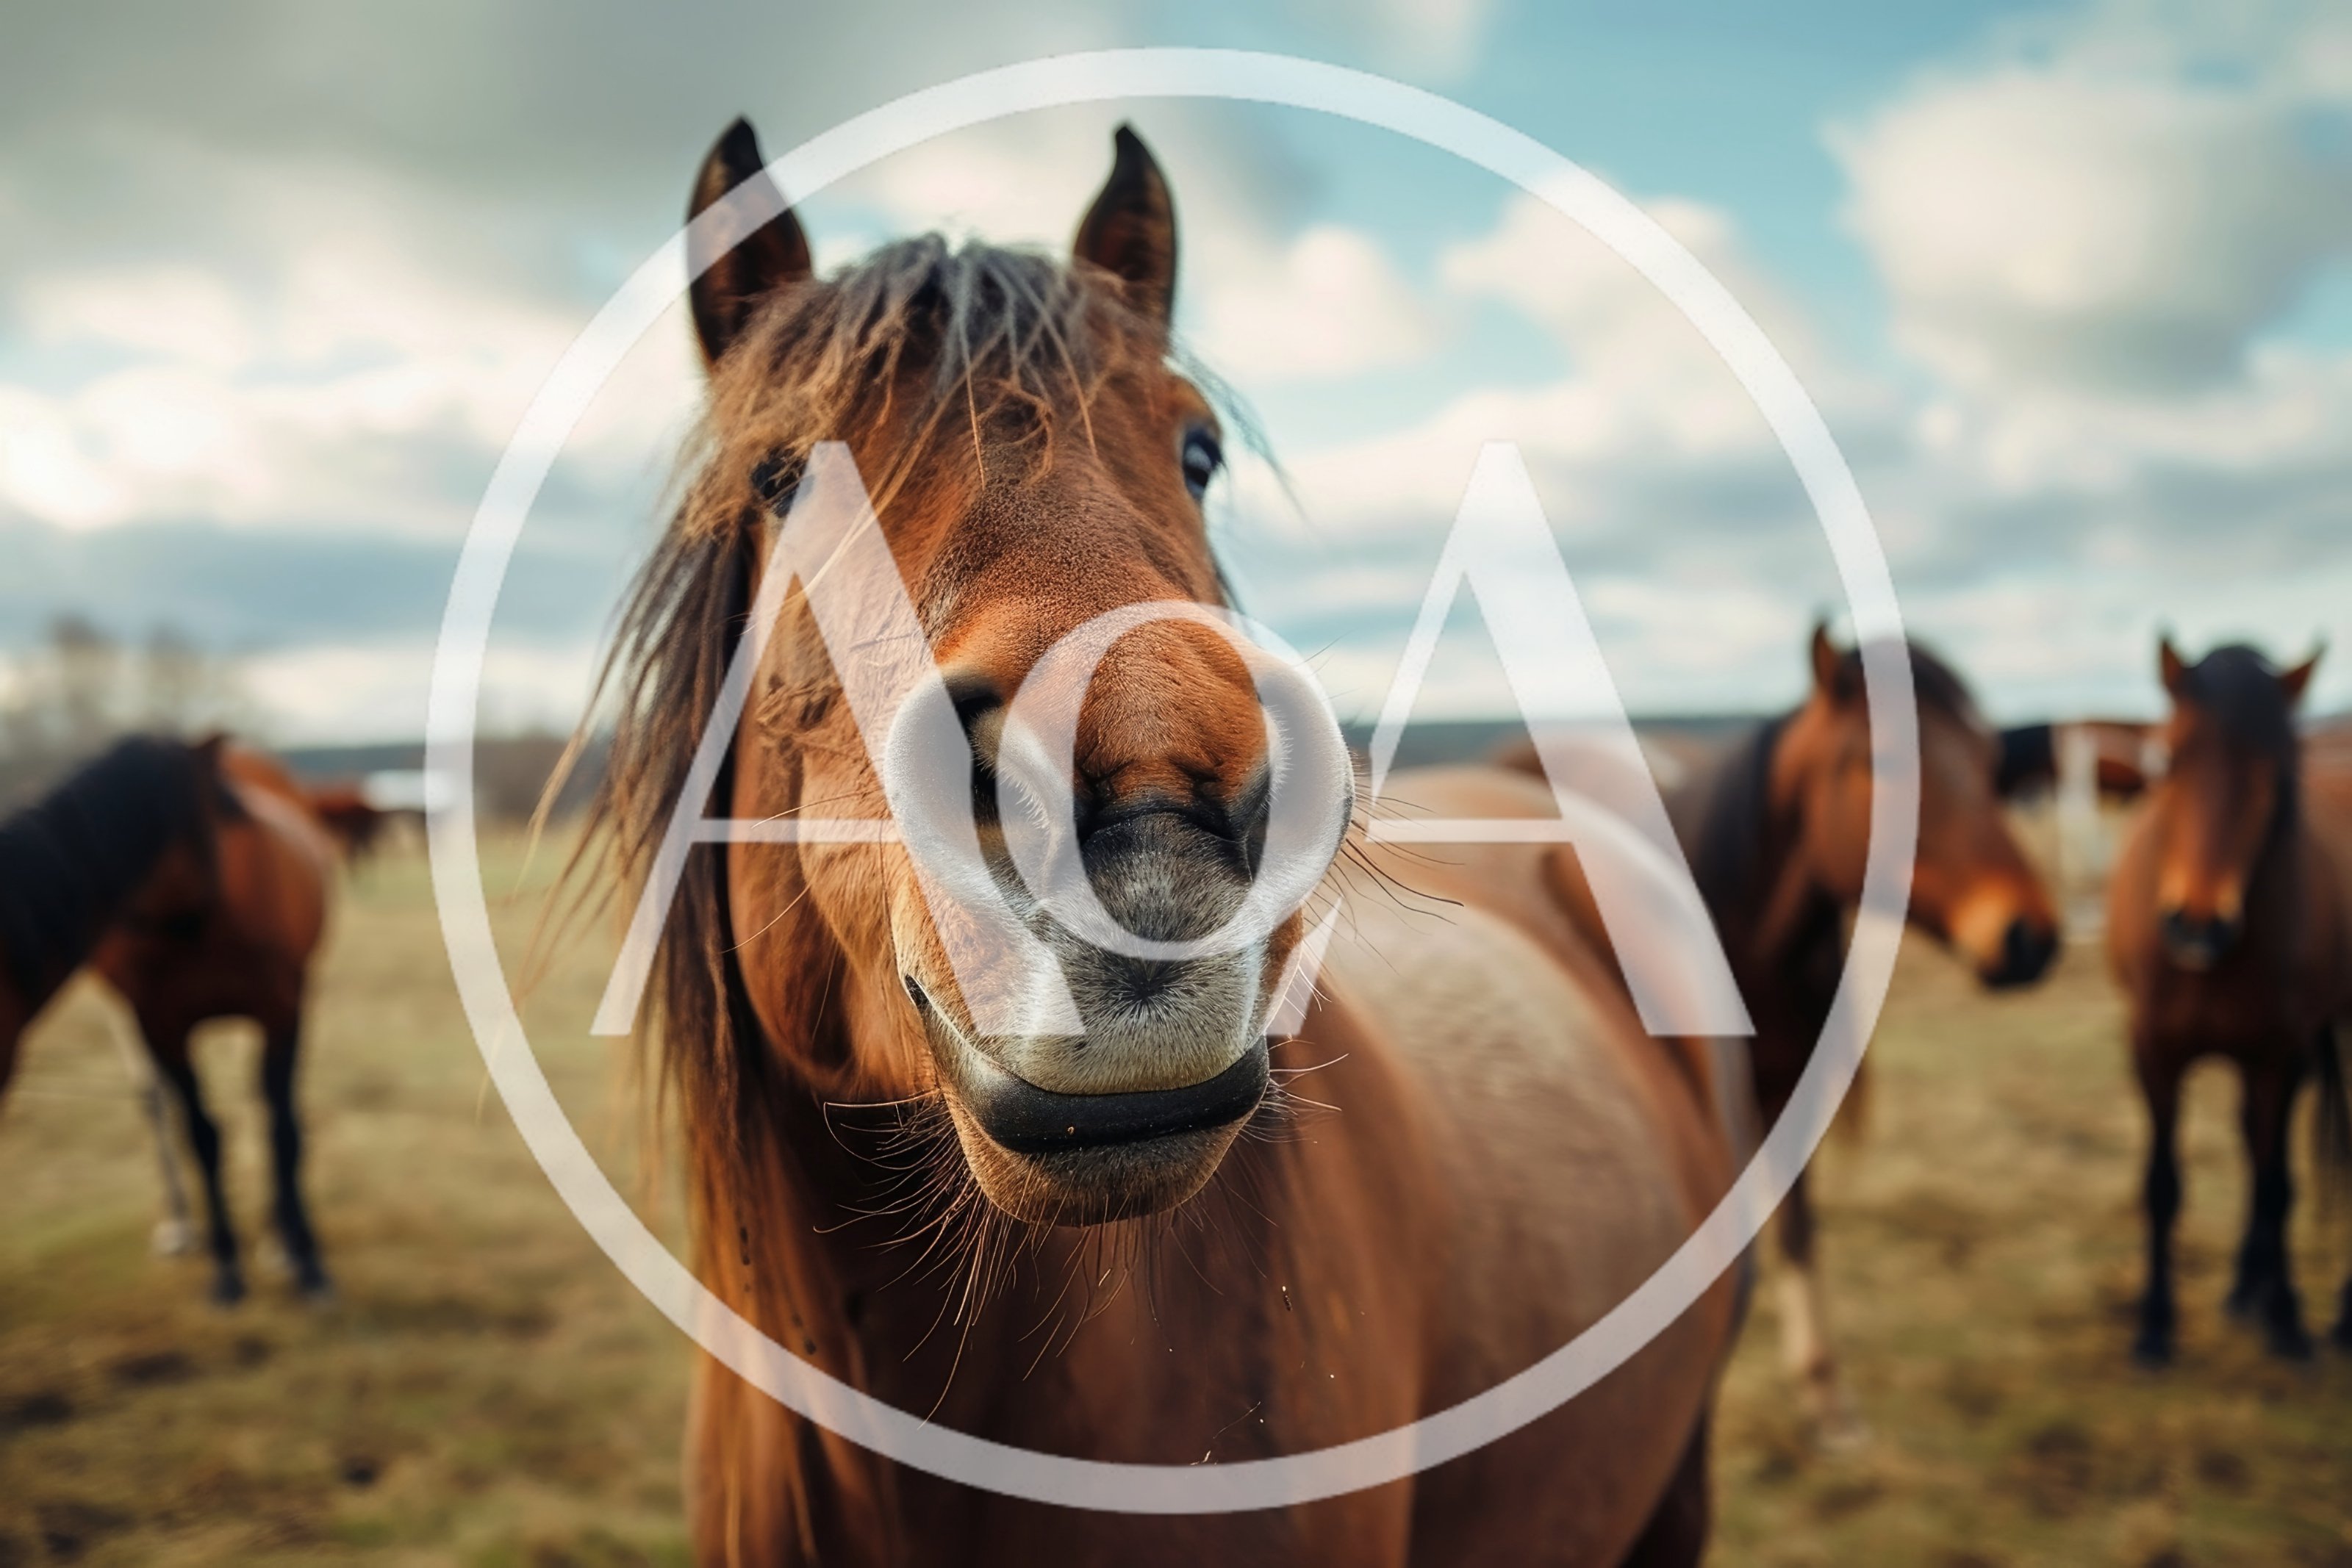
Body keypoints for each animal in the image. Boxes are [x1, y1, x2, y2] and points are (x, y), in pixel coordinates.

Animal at [1524, 628, 2062, 1441]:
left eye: (1990, 762)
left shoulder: (1792, 1094)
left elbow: (1802, 1228)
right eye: (1882, 760)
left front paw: (1825, 1394)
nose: (2028, 935)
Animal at [2107, 638, 2352, 1364]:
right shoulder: (2154, 1051)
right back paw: (2246, 1287)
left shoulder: (2279, 1057)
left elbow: (2276, 1186)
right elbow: (2162, 1184)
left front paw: (2289, 1319)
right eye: (2170, 758)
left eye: (2274, 773)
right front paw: (2155, 1326)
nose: (2197, 923)